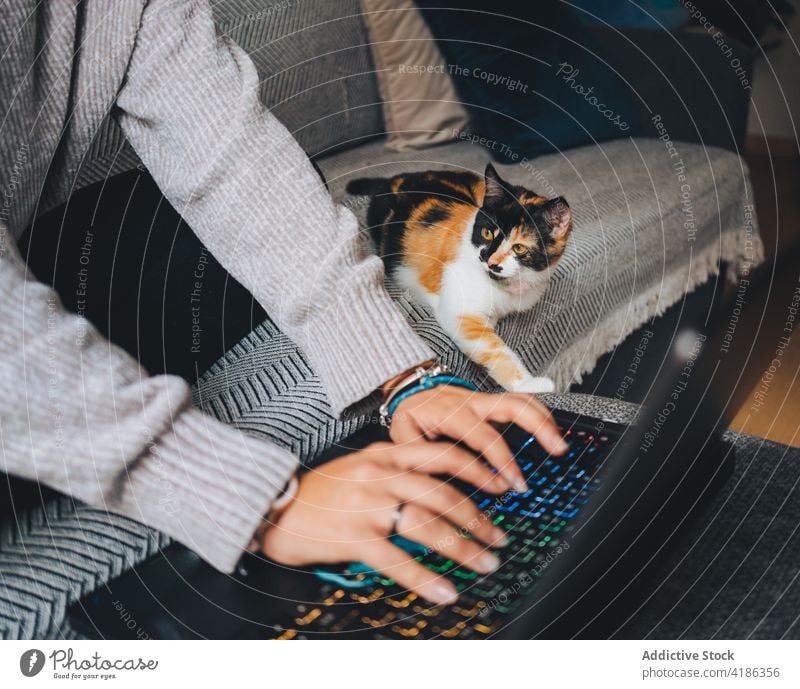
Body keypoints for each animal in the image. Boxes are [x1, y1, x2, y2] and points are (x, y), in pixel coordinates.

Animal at [346, 163, 572, 392]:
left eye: (519, 248)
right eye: (487, 233)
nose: (489, 260)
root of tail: (394, 178)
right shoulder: (460, 312)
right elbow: (496, 349)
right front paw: (528, 385)